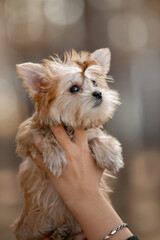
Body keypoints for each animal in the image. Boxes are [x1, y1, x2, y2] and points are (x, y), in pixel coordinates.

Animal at [12, 48, 124, 240]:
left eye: (95, 82)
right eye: (74, 88)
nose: (98, 93)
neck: (71, 127)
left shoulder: (89, 131)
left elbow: (95, 136)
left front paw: (110, 155)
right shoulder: (25, 137)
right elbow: (47, 135)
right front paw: (56, 156)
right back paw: (59, 233)